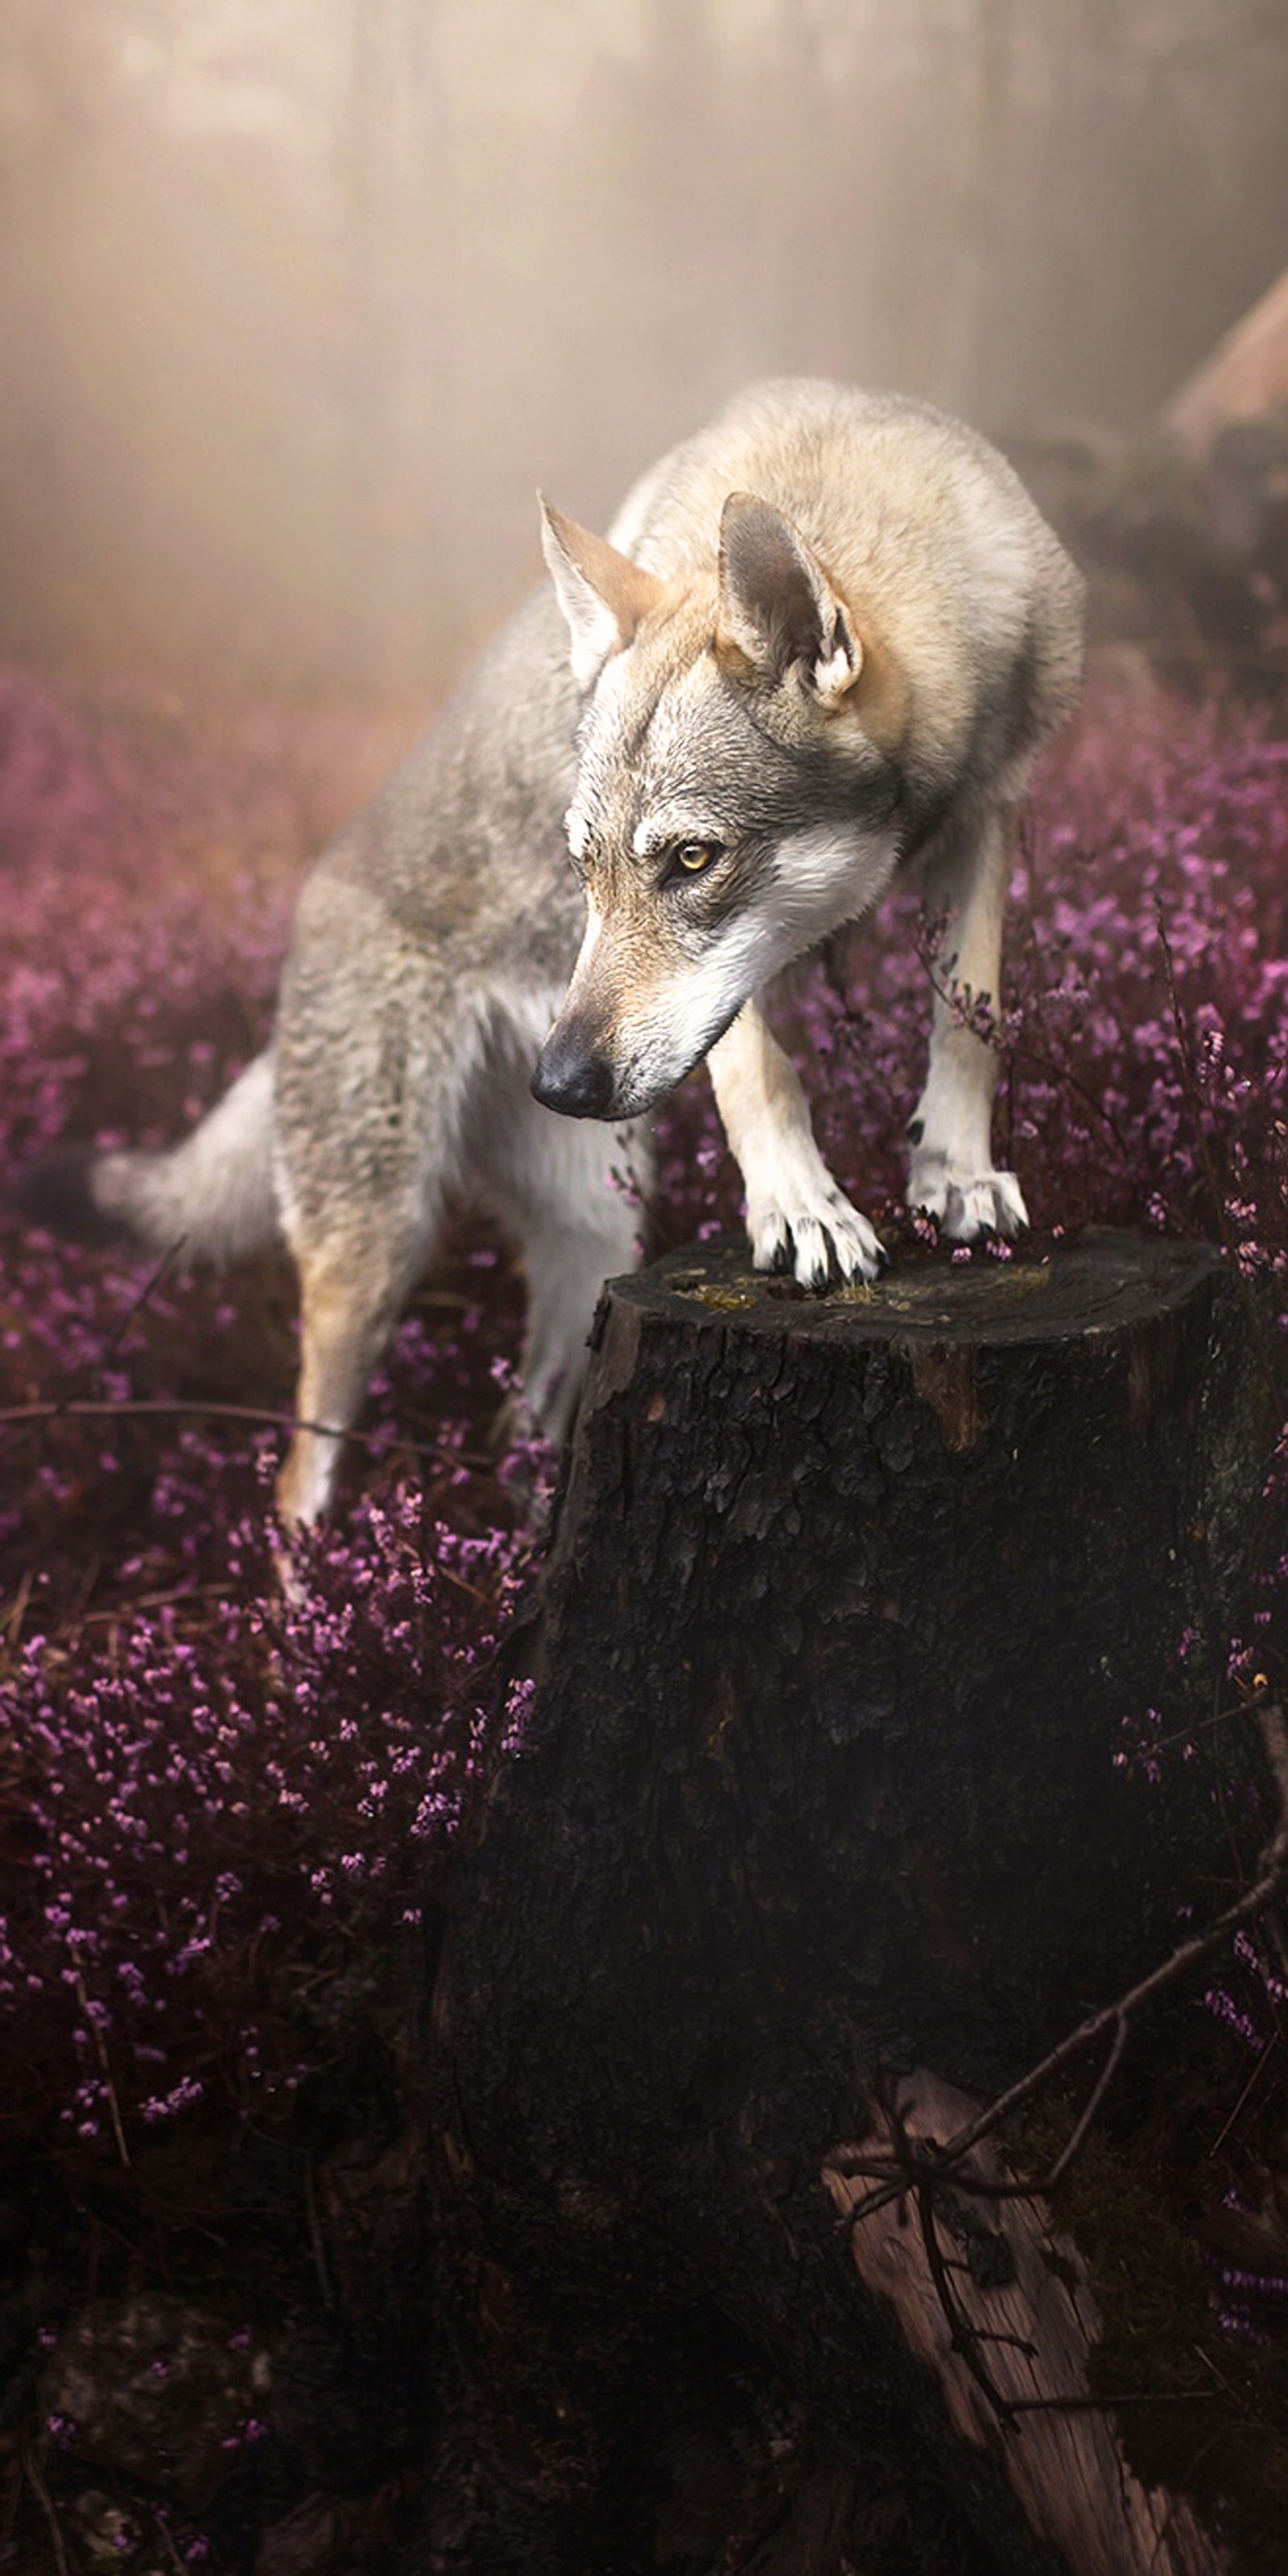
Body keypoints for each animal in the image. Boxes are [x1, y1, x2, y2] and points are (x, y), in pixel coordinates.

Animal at [23, 374, 1087, 1514]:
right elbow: (761, 1072)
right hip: (379, 1250)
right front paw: (805, 1209)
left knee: (528, 1419)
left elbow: (971, 1017)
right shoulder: (747, 989)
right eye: (582, 868)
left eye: (691, 860)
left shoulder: (991, 811)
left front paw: (956, 1174)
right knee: (301, 1479)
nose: (560, 1082)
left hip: (595, 1240)